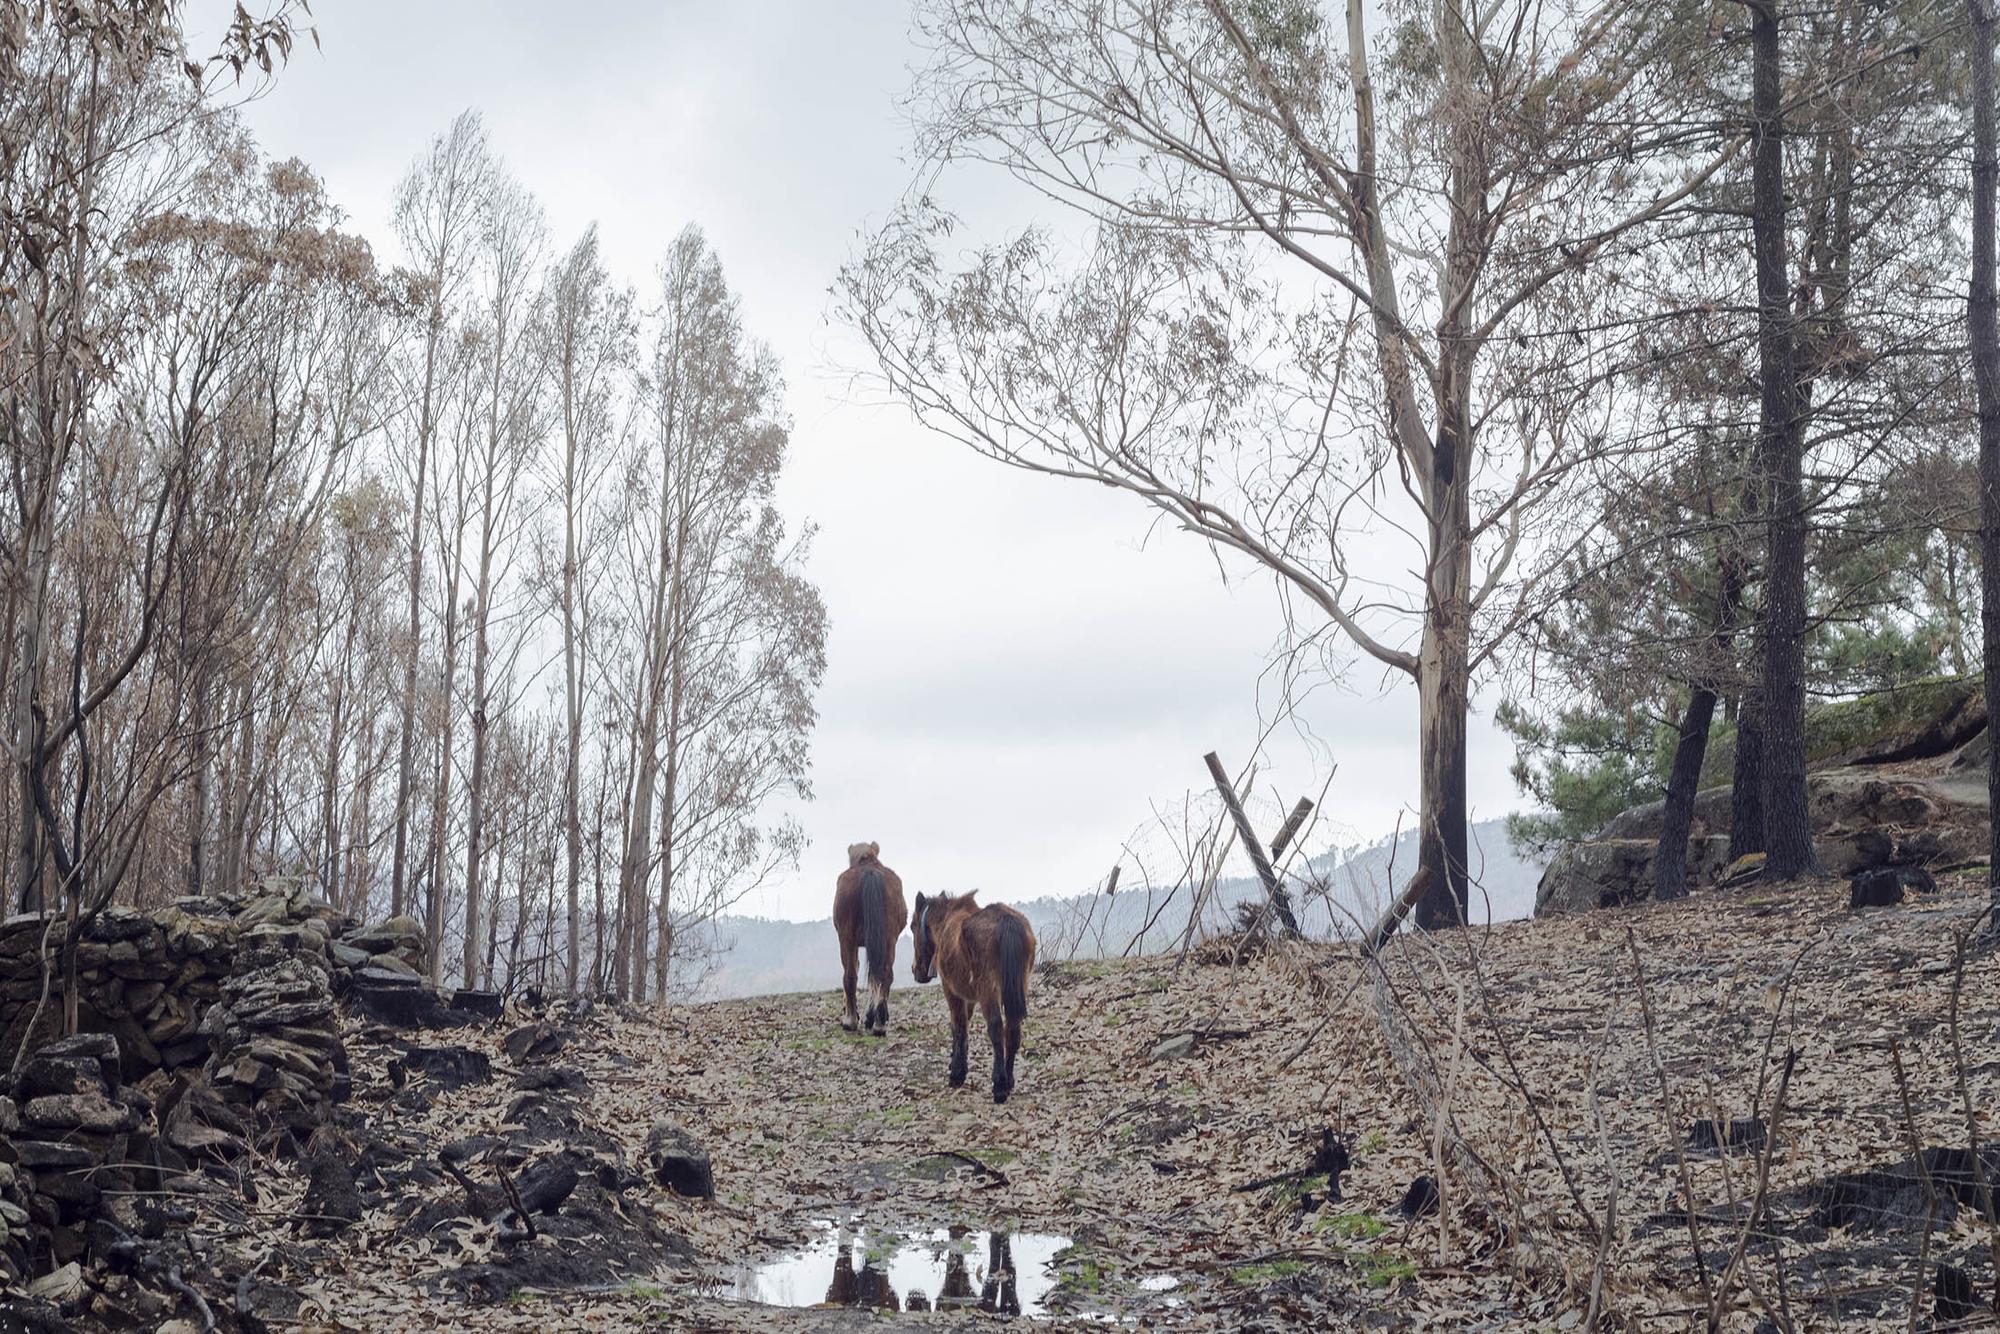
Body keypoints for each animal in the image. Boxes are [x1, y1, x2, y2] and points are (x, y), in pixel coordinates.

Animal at [828, 840, 908, 1040]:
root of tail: (870, 872)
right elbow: (874, 978)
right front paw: (871, 1017)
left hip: (847, 939)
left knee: (850, 975)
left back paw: (850, 1021)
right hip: (889, 940)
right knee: (885, 975)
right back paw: (879, 1024)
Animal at [908, 892, 1032, 1104]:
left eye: (912, 926)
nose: (916, 971)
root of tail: (1007, 921)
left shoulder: (952, 991)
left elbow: (958, 1026)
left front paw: (957, 1074)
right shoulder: (969, 998)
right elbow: (962, 1025)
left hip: (988, 991)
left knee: (996, 1028)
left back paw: (999, 1086)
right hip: (1017, 986)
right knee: (1013, 1031)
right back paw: (1008, 1081)